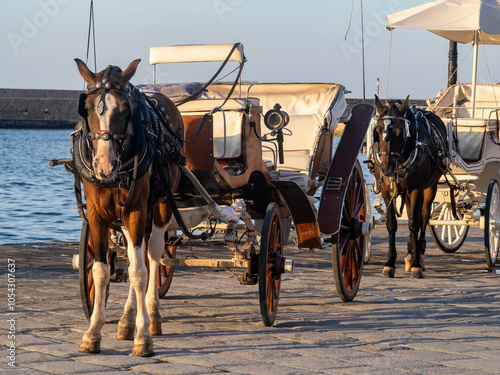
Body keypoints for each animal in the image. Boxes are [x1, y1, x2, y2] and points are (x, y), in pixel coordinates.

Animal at [73, 57, 185, 356]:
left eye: (124, 109)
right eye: (87, 108)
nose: (104, 165)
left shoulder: (137, 211)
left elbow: (139, 272)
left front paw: (143, 337)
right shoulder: (98, 216)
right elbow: (101, 272)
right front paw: (93, 333)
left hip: (160, 207)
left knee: (153, 257)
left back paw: (152, 316)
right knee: (137, 258)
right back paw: (126, 321)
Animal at [372, 96, 450, 280]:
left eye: (401, 132)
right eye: (377, 131)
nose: (387, 168)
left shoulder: (416, 189)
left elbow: (415, 223)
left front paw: (415, 265)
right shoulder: (386, 190)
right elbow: (392, 224)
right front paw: (389, 264)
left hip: (430, 187)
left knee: (424, 216)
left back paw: (418, 254)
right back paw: (409, 254)